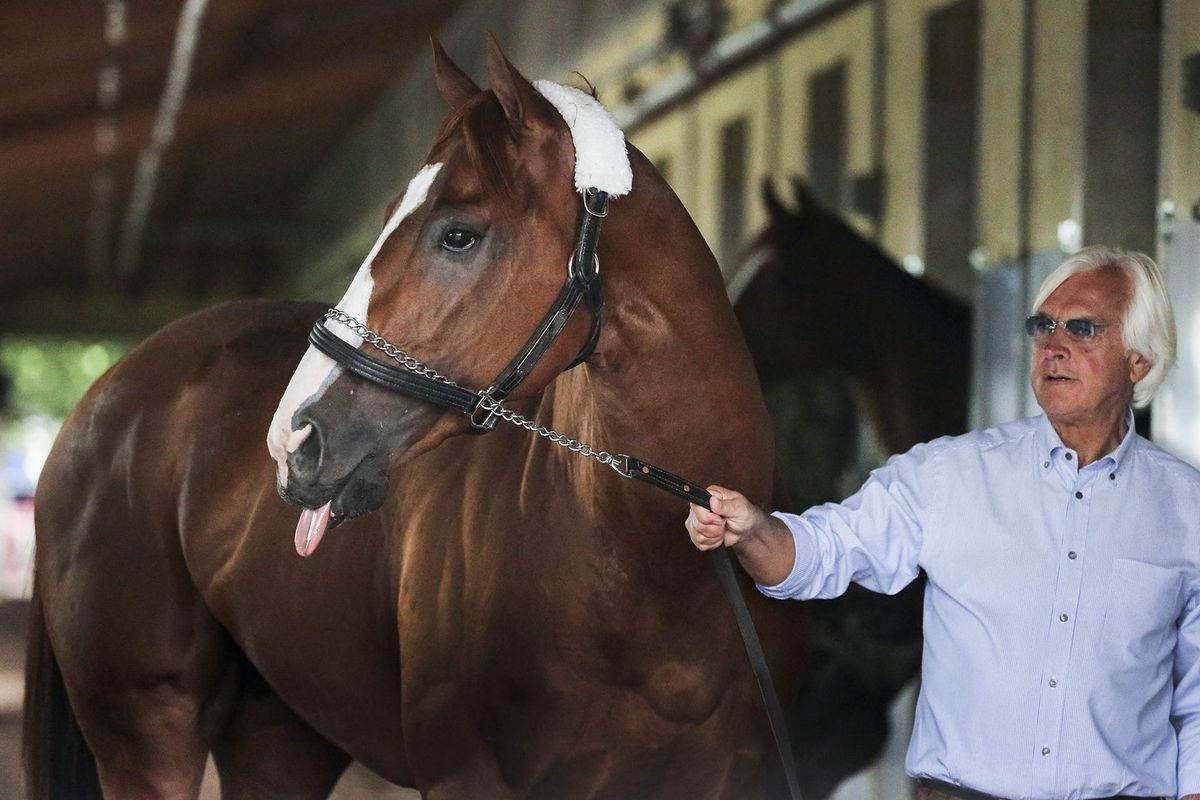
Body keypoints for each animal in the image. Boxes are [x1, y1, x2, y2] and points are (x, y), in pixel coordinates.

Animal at [23, 40, 806, 800]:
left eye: (457, 236)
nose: (292, 439)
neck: (654, 573)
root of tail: (103, 396)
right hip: (146, 732)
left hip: (280, 733)